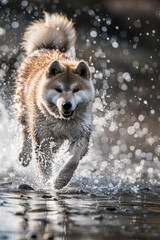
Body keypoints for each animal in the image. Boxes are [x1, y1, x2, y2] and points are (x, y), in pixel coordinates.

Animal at [13, 12, 94, 189]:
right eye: (58, 89)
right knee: (25, 130)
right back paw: (24, 154)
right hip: (23, 109)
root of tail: (47, 47)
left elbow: (72, 161)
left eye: (76, 90)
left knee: (54, 147)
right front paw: (47, 183)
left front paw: (60, 180)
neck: (61, 121)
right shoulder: (41, 137)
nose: (66, 105)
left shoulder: (81, 135)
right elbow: (45, 164)